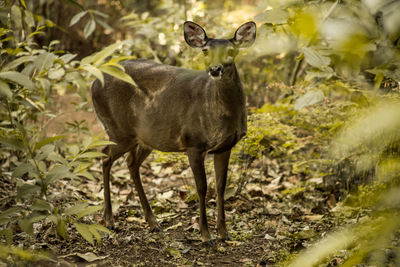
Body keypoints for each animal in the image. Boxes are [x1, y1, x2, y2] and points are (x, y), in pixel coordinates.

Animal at [91, 20, 256, 245]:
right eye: (205, 51)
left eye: (231, 51)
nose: (215, 70)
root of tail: (94, 82)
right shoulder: (193, 143)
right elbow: (202, 187)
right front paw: (206, 235)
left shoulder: (225, 146)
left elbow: (221, 187)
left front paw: (224, 233)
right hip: (118, 129)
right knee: (105, 158)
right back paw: (109, 220)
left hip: (146, 137)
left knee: (131, 163)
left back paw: (153, 222)